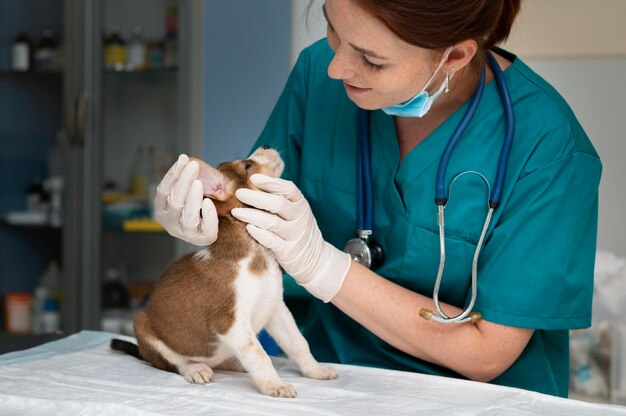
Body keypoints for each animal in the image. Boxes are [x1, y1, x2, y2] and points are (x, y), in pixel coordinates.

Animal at [109, 146, 338, 396]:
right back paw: (196, 369)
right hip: (143, 327)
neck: (256, 250)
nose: (266, 146)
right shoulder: (231, 323)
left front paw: (315, 370)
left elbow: (298, 343)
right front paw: (274, 384)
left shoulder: (276, 309)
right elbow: (260, 356)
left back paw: (234, 363)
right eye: (247, 165)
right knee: (175, 362)